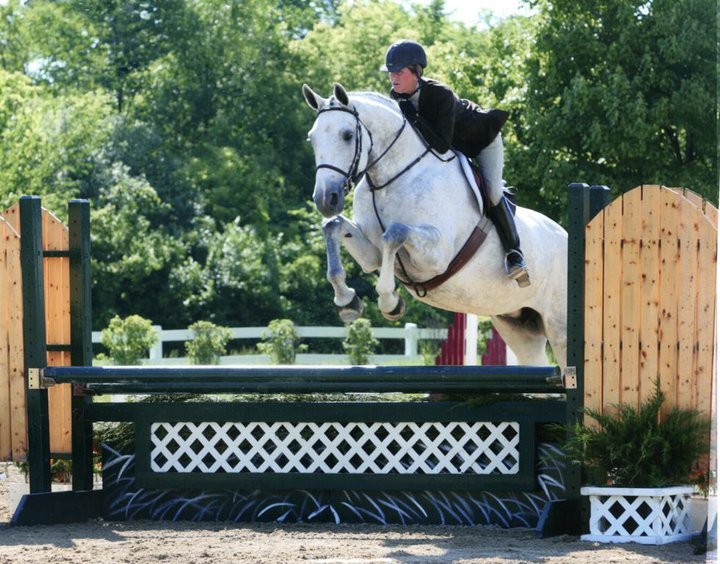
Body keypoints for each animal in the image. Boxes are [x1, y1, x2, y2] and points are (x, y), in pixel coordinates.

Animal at [302, 83, 568, 369]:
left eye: (348, 135)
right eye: (312, 138)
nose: (326, 199)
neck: (390, 178)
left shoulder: (436, 256)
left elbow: (393, 234)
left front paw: (390, 301)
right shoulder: (372, 255)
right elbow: (333, 226)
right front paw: (347, 301)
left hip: (559, 324)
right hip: (518, 325)